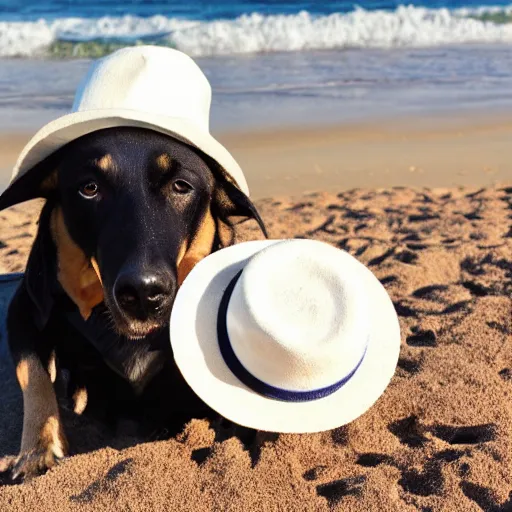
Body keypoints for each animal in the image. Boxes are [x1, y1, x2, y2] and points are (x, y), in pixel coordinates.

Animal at [0, 127, 266, 480]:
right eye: (89, 188)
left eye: (181, 186)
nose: (142, 293)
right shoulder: (24, 309)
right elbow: (33, 373)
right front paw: (37, 450)